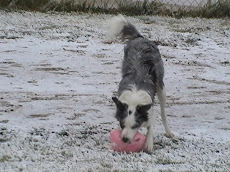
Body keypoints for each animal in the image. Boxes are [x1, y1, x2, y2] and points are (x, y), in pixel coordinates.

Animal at [107, 14, 173, 152]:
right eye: (122, 124)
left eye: (135, 126)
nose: (124, 140)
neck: (134, 97)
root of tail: (141, 38)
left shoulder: (149, 110)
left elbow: (150, 126)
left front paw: (149, 143)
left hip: (161, 88)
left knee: (163, 112)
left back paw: (168, 131)